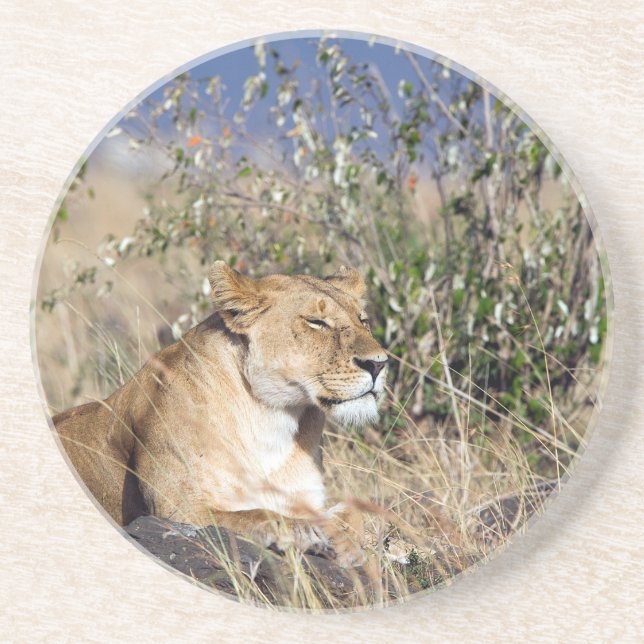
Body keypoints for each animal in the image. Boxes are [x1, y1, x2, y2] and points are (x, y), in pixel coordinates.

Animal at [53, 262, 388, 566]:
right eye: (316, 322)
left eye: (363, 320)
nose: (378, 364)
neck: (272, 419)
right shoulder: (176, 512)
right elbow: (255, 515)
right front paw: (305, 534)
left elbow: (355, 513)